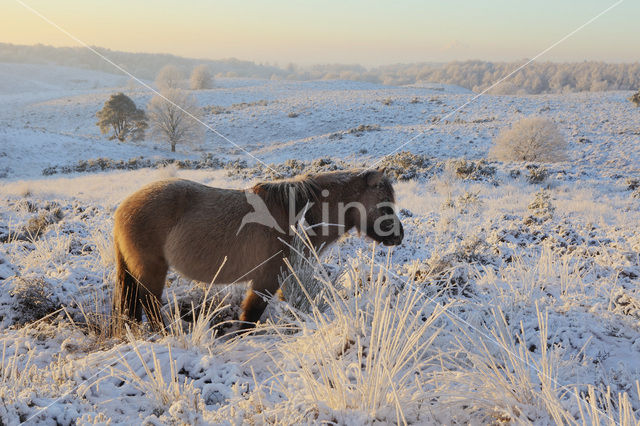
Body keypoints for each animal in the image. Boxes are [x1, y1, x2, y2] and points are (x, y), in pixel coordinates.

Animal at [114, 169, 404, 330]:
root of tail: (123, 208)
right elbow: (250, 316)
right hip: (152, 270)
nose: (398, 236)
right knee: (150, 305)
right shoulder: (265, 279)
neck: (295, 215)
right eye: (384, 202)